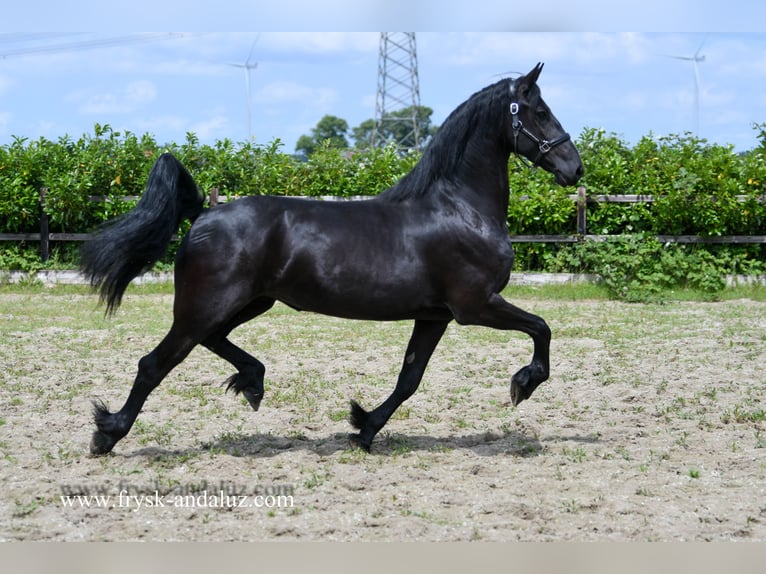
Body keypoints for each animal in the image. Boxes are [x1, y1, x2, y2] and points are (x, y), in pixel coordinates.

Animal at [81, 63, 584, 456]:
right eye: (540, 111)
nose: (574, 168)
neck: (459, 208)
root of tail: (204, 213)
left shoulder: (434, 316)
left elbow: (409, 378)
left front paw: (364, 428)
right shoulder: (475, 305)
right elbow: (542, 328)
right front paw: (523, 384)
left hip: (248, 302)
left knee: (212, 341)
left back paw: (253, 382)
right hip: (207, 304)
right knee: (154, 364)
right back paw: (107, 434)